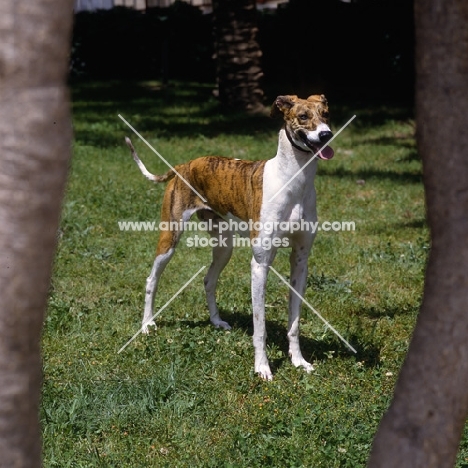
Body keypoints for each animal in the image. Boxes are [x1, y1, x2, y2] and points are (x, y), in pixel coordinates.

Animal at [124, 95, 332, 380]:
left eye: (326, 113)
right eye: (303, 116)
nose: (326, 135)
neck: (292, 181)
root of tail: (182, 167)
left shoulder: (300, 261)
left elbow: (295, 322)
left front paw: (299, 361)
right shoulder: (260, 264)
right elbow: (260, 327)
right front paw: (262, 368)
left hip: (224, 246)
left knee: (208, 280)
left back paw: (216, 321)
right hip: (170, 239)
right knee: (151, 279)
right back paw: (147, 324)